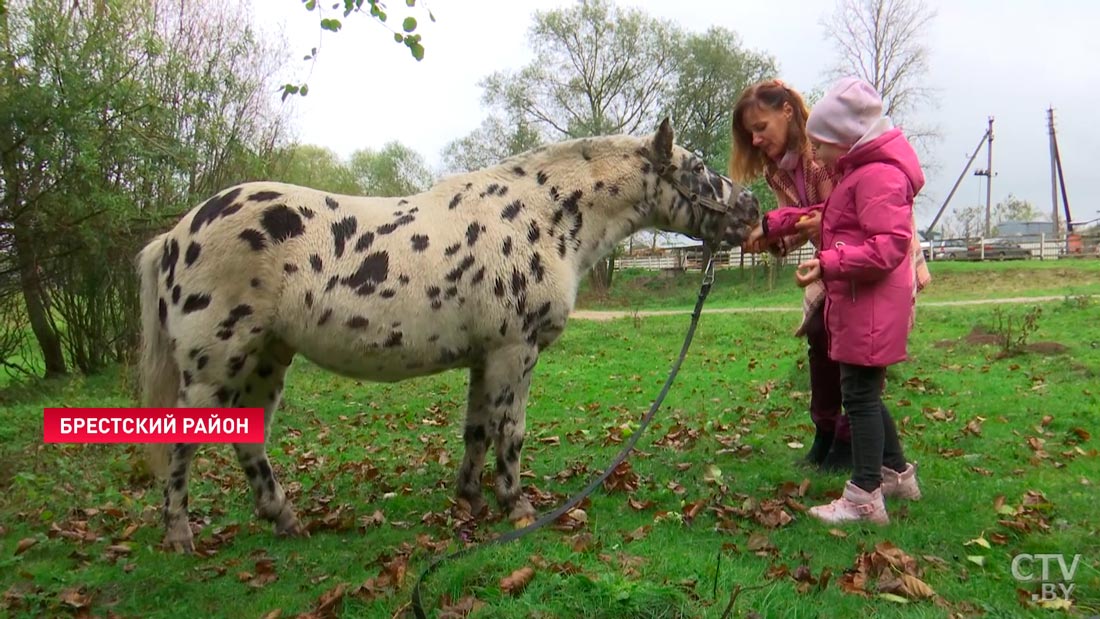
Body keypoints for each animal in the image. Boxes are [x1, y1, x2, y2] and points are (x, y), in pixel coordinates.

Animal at [135, 117, 756, 551]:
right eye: (697, 169)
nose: (750, 207)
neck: (543, 217)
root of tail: (177, 233)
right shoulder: (514, 352)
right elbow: (511, 431)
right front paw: (516, 505)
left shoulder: (485, 358)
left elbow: (476, 430)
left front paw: (471, 500)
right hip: (216, 361)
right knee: (184, 439)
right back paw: (180, 535)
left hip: (268, 355)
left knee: (250, 436)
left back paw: (285, 520)